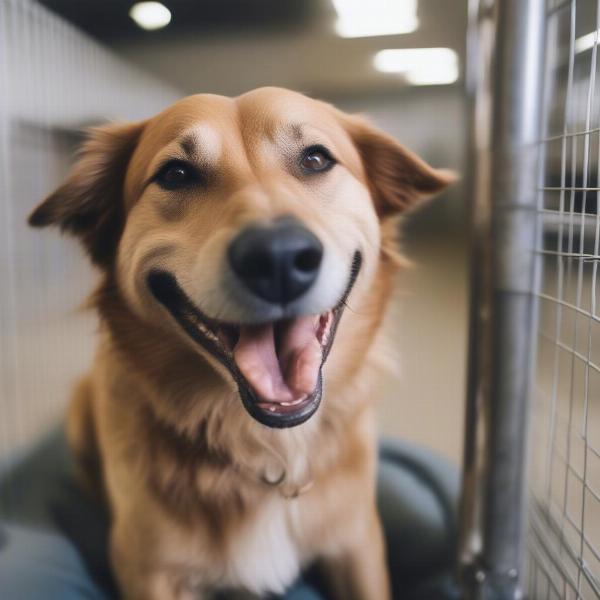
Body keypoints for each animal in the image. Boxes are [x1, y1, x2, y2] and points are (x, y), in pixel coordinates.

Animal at [28, 86, 450, 596]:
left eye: (315, 158)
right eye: (175, 174)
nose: (278, 259)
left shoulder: (359, 544)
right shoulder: (146, 570)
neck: (267, 449)